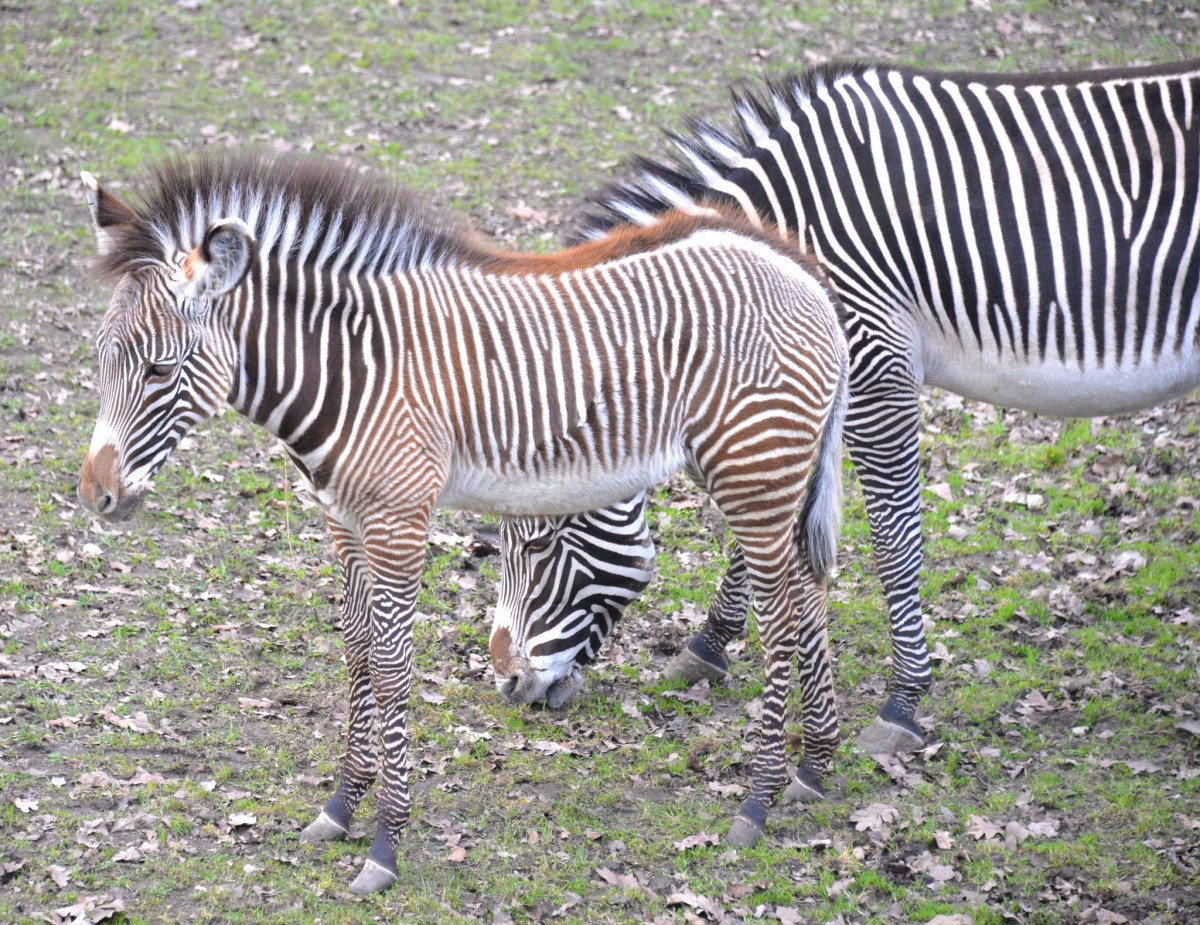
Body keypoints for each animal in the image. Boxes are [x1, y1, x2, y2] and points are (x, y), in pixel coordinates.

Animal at [75, 152, 849, 892]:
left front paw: (385, 845)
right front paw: (340, 807)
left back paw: (758, 801)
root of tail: (802, 272)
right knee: (811, 594)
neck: (356, 373)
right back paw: (814, 767)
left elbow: (391, 670)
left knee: (783, 620)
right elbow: (357, 654)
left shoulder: (398, 519)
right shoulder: (342, 521)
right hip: (770, 474)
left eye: (159, 369)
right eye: (102, 360)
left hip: (754, 468)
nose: (95, 494)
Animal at [488, 58, 1200, 755]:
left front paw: (903, 701)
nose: (509, 686)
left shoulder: (871, 367)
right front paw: (707, 647)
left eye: (540, 542)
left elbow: (893, 536)